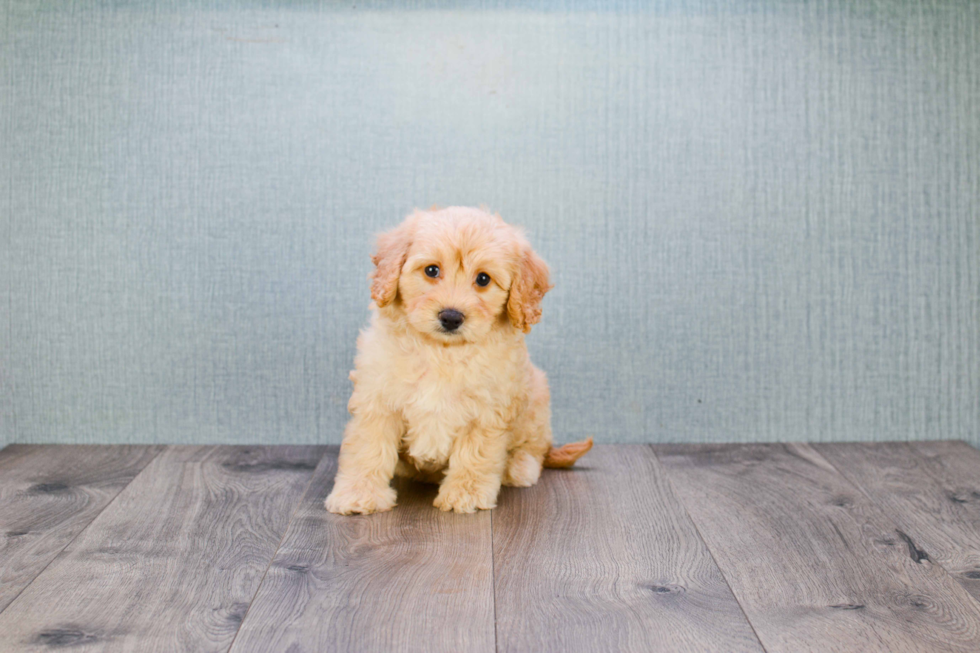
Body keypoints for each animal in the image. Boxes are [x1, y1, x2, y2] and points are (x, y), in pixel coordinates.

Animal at [328, 205, 588, 516]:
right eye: (431, 270)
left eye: (483, 279)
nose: (451, 317)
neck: (442, 351)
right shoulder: (377, 399)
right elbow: (367, 448)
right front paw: (358, 494)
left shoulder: (488, 408)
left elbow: (475, 453)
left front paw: (466, 495)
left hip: (536, 396)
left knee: (535, 448)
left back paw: (518, 467)